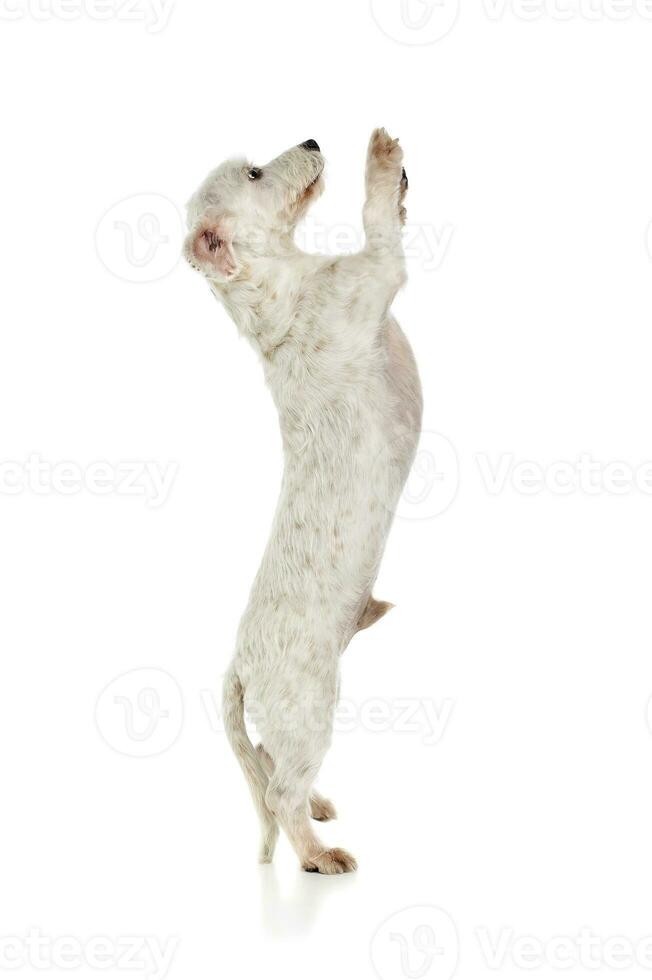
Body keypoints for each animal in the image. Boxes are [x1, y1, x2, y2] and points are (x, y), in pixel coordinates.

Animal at [185, 128, 422, 872]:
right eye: (254, 174)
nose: (314, 138)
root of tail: (239, 665)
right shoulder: (378, 271)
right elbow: (378, 221)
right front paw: (383, 157)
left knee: (268, 765)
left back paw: (316, 808)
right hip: (313, 708)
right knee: (278, 793)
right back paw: (319, 853)